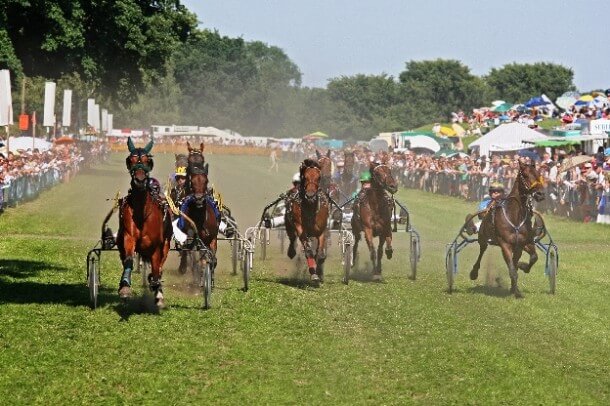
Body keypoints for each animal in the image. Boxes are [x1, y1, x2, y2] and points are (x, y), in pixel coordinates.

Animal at [117, 138, 172, 306]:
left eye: (148, 160)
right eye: (130, 160)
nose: (140, 180)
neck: (142, 213)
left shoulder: (156, 246)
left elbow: (156, 269)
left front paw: (158, 290)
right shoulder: (128, 237)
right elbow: (129, 259)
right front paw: (125, 287)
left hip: (166, 244)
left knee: (159, 267)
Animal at [468, 161, 544, 298]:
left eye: (539, 174)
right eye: (525, 175)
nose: (540, 194)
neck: (515, 216)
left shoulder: (523, 243)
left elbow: (532, 258)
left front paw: (521, 267)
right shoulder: (505, 244)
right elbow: (512, 270)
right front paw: (516, 291)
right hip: (483, 237)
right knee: (482, 251)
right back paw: (474, 272)